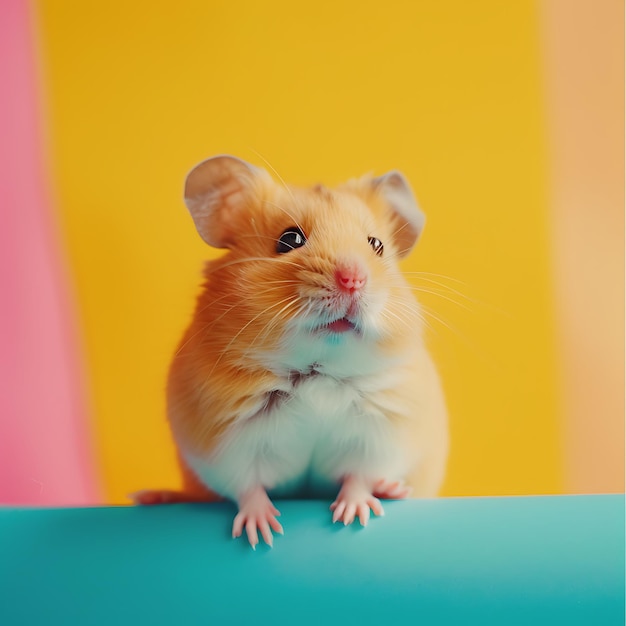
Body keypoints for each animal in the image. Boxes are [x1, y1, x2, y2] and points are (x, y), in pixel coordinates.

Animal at [132, 155, 446, 544]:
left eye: (376, 245)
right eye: (289, 239)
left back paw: (393, 490)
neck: (318, 369)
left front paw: (350, 516)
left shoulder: (381, 433)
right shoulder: (223, 443)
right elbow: (246, 488)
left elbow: (360, 476)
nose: (353, 279)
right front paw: (262, 533)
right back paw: (152, 496)